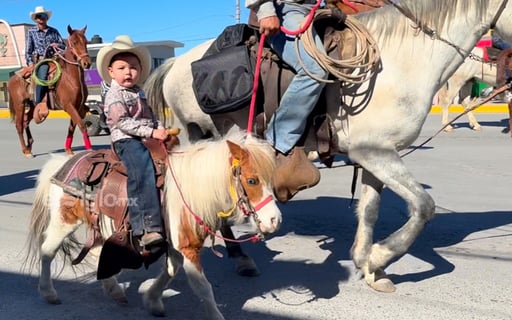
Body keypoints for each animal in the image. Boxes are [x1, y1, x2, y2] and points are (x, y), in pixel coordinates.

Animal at [7, 25, 93, 158]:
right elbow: (81, 125)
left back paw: (29, 147)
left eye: (86, 42)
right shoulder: (68, 106)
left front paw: (68, 149)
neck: (70, 77)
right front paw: (90, 150)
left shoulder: (77, 107)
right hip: (19, 104)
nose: (86, 63)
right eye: (74, 42)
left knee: (26, 121)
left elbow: (72, 127)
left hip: (32, 105)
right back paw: (26, 151)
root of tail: (12, 78)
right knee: (19, 125)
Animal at [23, 131, 280, 318]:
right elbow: (203, 288)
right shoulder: (187, 247)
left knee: (95, 251)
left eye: (270, 179)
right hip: (64, 221)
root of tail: (62, 163)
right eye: (252, 180)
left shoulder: (176, 244)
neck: (189, 188)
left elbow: (171, 270)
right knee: (47, 251)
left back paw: (114, 290)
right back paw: (49, 292)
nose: (275, 221)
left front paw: (152, 301)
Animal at [144, 0, 512, 292]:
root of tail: (176, 62)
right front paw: (379, 256)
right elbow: (424, 207)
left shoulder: (376, 154)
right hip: (200, 134)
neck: (399, 62)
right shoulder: (375, 153)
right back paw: (241, 257)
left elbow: (369, 210)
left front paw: (367, 263)